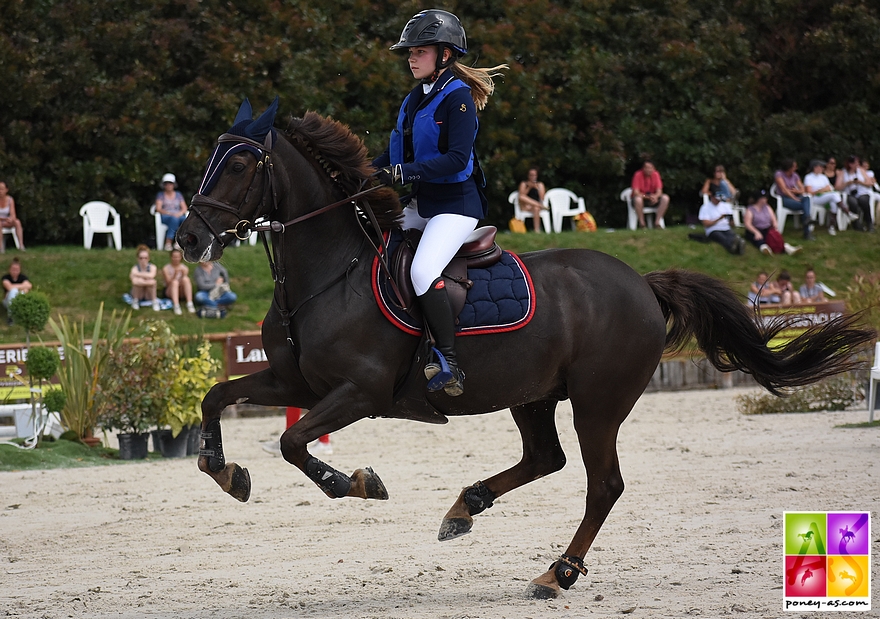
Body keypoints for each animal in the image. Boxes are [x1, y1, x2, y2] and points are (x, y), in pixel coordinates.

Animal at [177, 100, 872, 600]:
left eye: (238, 165)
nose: (186, 238)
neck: (329, 273)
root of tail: (640, 282)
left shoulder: (360, 392)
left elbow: (294, 443)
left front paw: (355, 482)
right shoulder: (297, 384)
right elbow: (217, 397)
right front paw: (225, 470)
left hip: (598, 402)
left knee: (601, 483)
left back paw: (555, 573)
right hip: (532, 393)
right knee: (547, 458)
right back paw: (466, 508)